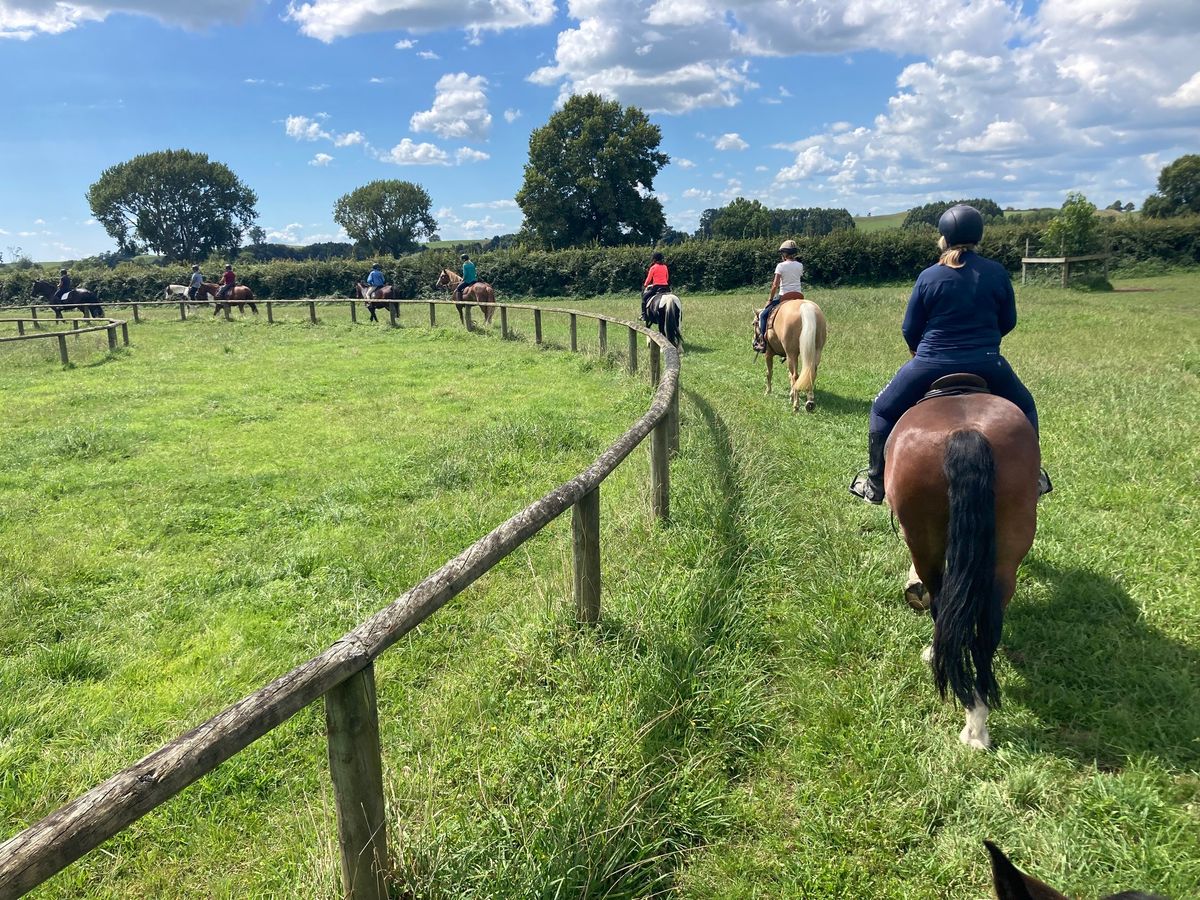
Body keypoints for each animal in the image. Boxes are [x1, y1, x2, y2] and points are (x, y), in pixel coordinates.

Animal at [892, 388, 1041, 753]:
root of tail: (967, 433)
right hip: (1007, 553)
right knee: (986, 632)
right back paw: (978, 723)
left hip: (924, 542)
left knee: (940, 604)